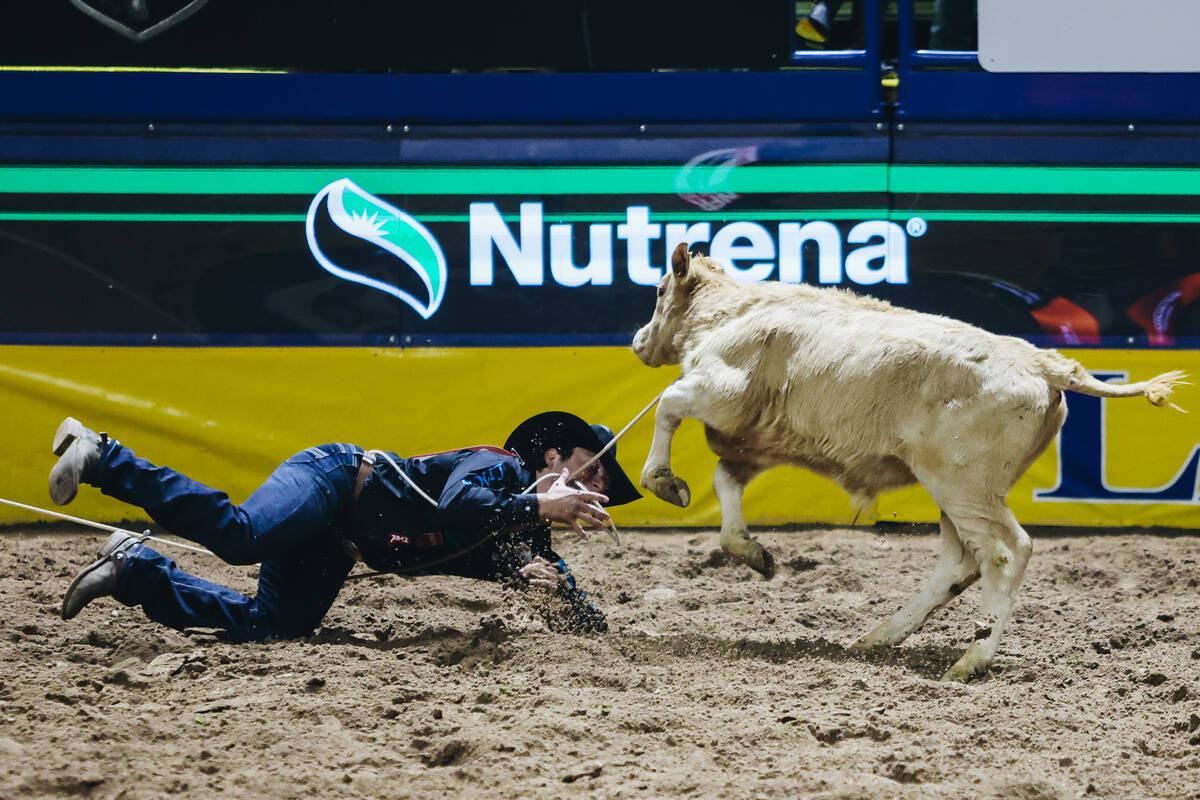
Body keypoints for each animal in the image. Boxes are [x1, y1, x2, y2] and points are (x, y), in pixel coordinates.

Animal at [633, 244, 1185, 681]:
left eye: (659, 290)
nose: (638, 341)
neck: (736, 311)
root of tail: (1041, 362)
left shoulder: (721, 394)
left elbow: (667, 405)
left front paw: (661, 480)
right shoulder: (754, 441)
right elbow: (726, 486)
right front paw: (753, 553)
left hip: (964, 485)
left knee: (1005, 552)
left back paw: (972, 659)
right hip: (958, 491)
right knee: (960, 562)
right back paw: (882, 635)